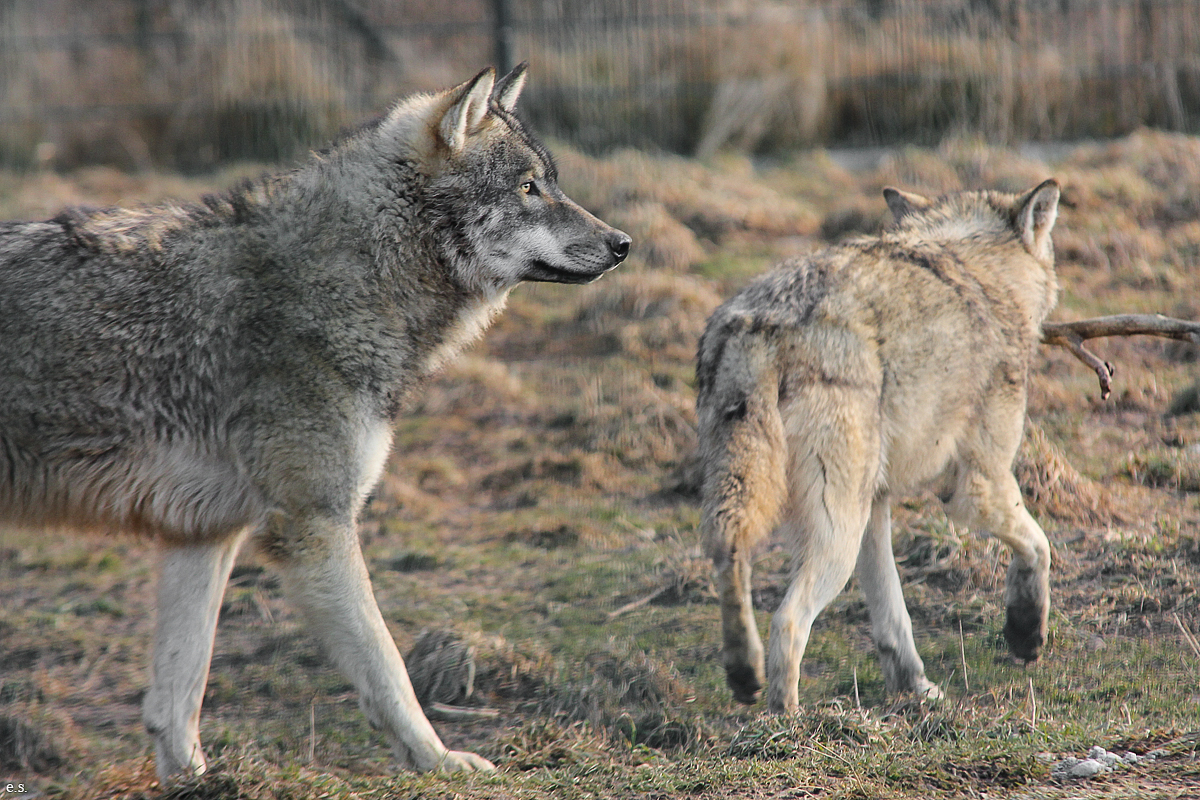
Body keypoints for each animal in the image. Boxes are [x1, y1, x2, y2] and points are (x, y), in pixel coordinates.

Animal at [0, 63, 629, 778]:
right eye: (528, 188)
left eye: (551, 183)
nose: (623, 244)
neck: (348, 276)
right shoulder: (315, 524)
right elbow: (388, 668)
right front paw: (438, 760)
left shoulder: (203, 533)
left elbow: (180, 692)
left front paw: (193, 783)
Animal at [696, 181, 1060, 711]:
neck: (981, 271)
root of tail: (761, 323)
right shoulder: (977, 485)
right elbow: (1038, 546)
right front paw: (1025, 634)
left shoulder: (877, 502)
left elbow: (892, 615)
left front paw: (916, 689)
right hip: (836, 535)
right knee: (788, 621)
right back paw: (787, 722)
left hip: (765, 501)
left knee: (729, 555)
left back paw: (745, 675)